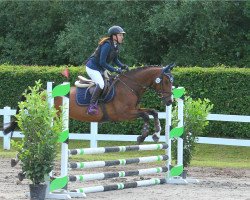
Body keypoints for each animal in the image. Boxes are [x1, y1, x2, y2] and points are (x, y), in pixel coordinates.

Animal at [2, 64, 175, 145]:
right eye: (166, 81)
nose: (170, 101)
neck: (130, 85)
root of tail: (41, 93)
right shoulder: (123, 114)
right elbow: (145, 115)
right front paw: (143, 135)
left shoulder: (134, 109)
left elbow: (152, 112)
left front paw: (156, 133)